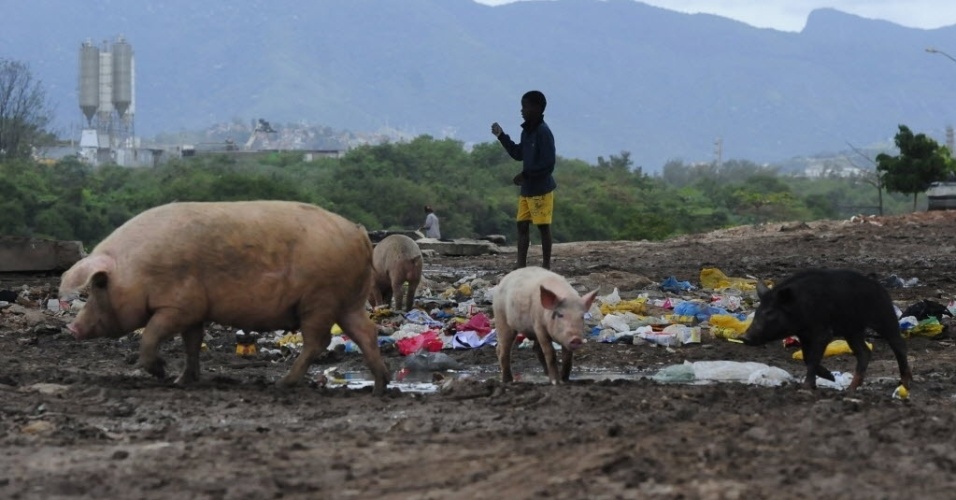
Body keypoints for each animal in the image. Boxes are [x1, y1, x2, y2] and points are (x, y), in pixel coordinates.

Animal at [58, 199, 388, 394]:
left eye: (99, 286)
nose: (72, 327)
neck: (137, 270)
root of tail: (359, 233)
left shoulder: (177, 306)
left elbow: (150, 335)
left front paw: (162, 374)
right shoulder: (196, 311)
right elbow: (191, 344)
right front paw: (182, 381)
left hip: (320, 299)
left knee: (317, 341)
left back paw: (282, 384)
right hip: (347, 302)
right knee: (367, 332)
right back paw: (380, 387)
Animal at [740, 268, 912, 392]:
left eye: (770, 312)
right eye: (757, 311)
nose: (744, 337)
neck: (800, 306)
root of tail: (877, 284)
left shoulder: (822, 332)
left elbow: (813, 358)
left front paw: (805, 388)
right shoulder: (804, 335)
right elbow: (806, 357)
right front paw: (830, 378)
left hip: (884, 317)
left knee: (899, 345)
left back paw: (906, 383)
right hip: (853, 330)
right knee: (864, 352)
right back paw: (850, 389)